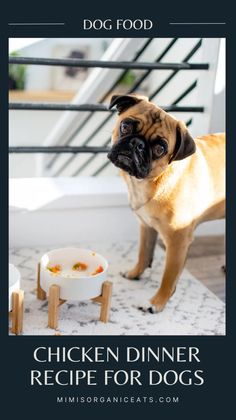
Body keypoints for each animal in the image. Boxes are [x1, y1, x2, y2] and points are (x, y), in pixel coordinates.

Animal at [107, 93, 225, 314]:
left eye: (160, 148)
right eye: (126, 126)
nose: (137, 143)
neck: (149, 182)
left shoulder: (178, 242)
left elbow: (168, 278)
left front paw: (156, 303)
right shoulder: (146, 226)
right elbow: (144, 254)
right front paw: (135, 274)